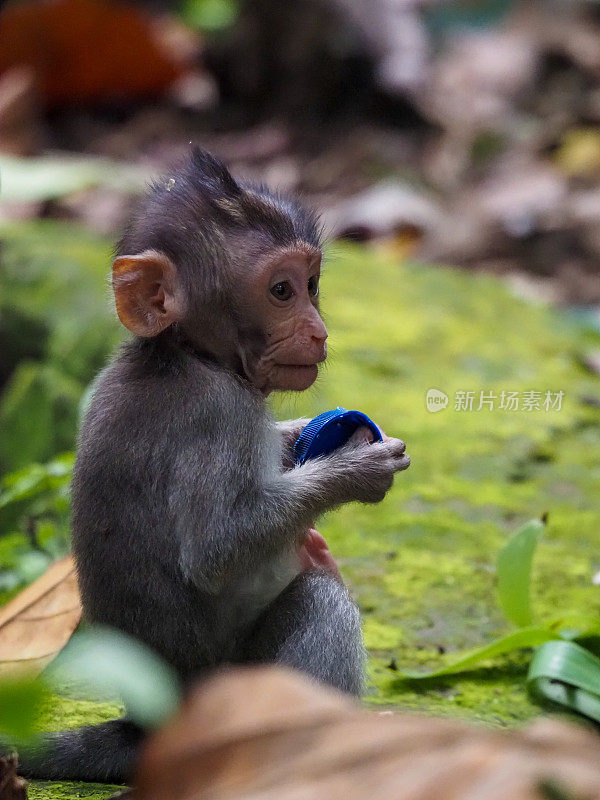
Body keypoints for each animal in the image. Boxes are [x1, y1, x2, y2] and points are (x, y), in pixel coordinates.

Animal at [15, 148, 408, 780]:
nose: (319, 331)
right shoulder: (216, 413)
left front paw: (299, 436)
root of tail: (151, 723)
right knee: (320, 598)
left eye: (312, 285)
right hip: (229, 694)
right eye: (281, 290)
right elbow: (216, 550)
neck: (180, 353)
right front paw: (355, 470)